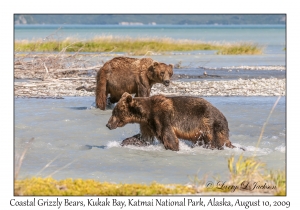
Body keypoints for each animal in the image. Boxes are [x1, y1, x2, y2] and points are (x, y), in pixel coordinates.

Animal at [106, 92, 237, 151]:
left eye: (115, 112)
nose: (108, 124)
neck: (146, 113)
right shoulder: (147, 124)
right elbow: (145, 138)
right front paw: (127, 141)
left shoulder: (161, 117)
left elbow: (168, 136)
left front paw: (173, 147)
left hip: (210, 124)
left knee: (215, 141)